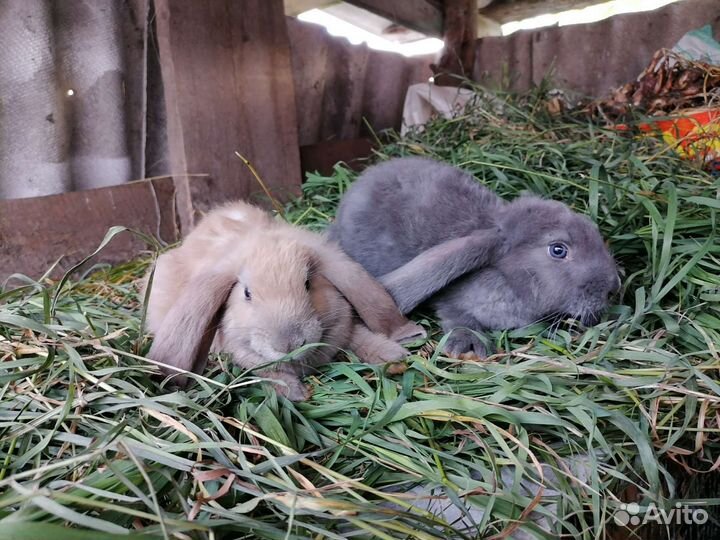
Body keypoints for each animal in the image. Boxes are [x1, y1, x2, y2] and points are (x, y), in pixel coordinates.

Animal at [145, 200, 425, 400]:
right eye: (247, 293)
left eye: (308, 283)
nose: (289, 344)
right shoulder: (245, 354)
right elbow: (269, 372)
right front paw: (296, 393)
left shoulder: (342, 326)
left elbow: (359, 336)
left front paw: (395, 356)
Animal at [330, 156, 620, 359]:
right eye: (558, 250)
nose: (613, 288)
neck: (507, 276)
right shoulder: (451, 300)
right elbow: (457, 315)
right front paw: (469, 345)